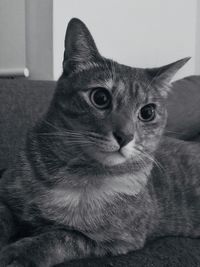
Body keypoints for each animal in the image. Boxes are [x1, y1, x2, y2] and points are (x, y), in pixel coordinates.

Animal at [0, 17, 198, 266]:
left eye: (147, 112)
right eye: (100, 97)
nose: (125, 136)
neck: (75, 173)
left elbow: (62, 237)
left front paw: (20, 252)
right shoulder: (6, 193)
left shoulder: (118, 240)